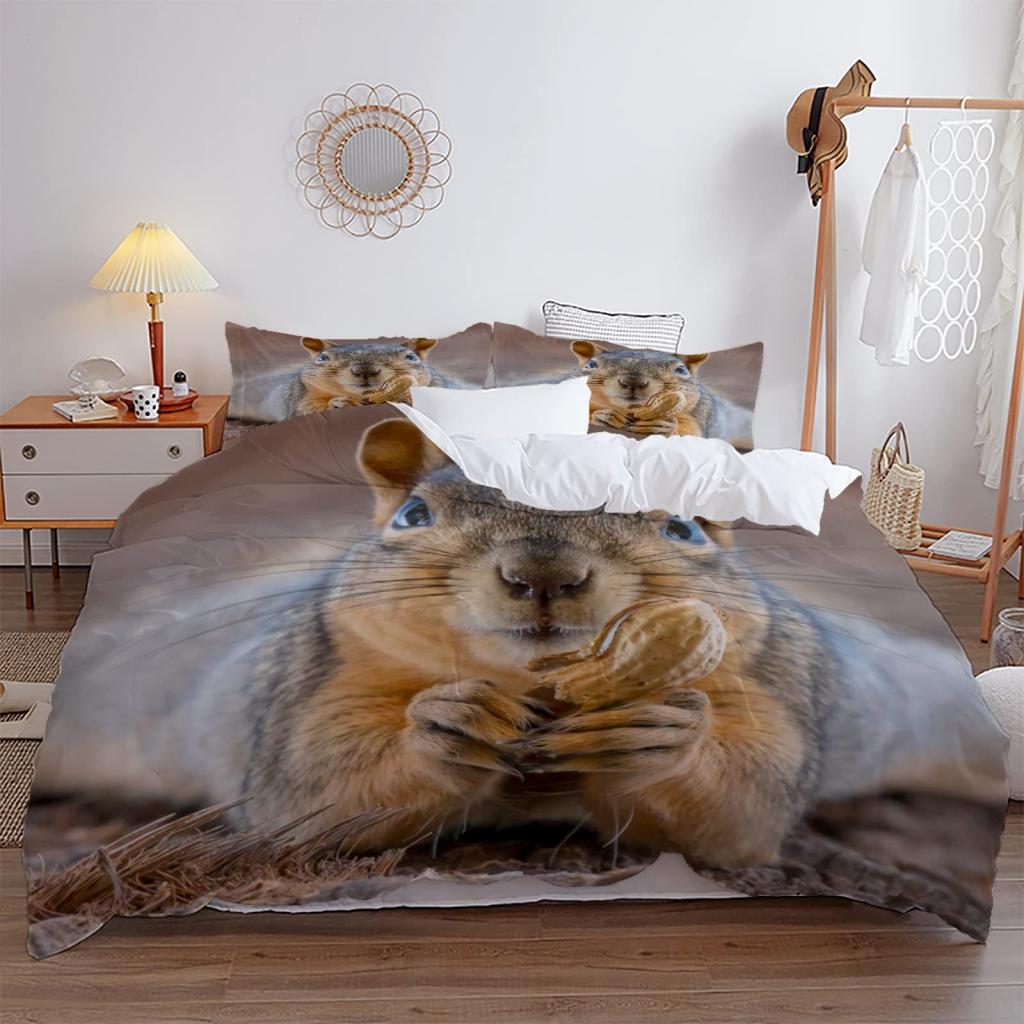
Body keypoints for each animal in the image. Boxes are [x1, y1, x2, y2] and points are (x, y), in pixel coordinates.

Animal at [236, 417, 839, 869]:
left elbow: (752, 802)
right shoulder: (322, 672)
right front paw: (451, 724)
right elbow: (310, 791)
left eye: (684, 529)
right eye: (414, 514)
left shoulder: (767, 678)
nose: (544, 576)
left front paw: (658, 731)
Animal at [283, 337, 450, 417]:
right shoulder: (303, 396)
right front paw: (338, 403)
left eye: (411, 356)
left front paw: (404, 396)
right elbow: (305, 410)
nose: (364, 371)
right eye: (323, 357)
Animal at [572, 340, 754, 448]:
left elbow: (691, 433)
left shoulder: (699, 416)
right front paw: (604, 416)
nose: (633, 382)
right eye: (591, 364)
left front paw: (664, 426)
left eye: (681, 370)